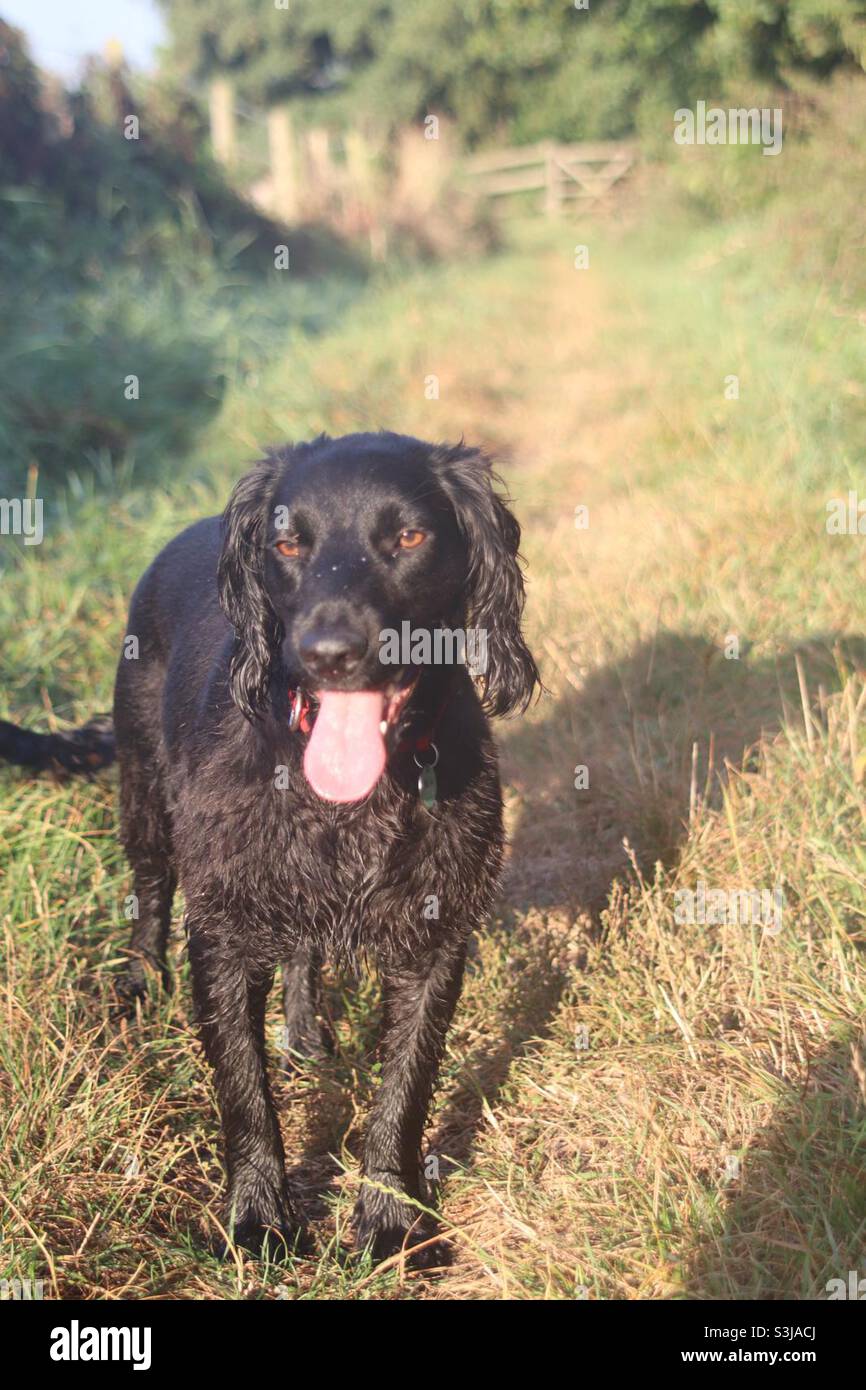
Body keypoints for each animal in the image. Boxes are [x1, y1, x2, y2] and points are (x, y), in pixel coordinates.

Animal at [0, 430, 539, 1262]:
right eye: (287, 543)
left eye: (409, 537)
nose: (328, 651)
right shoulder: (222, 931)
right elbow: (243, 1091)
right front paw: (257, 1217)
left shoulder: (436, 939)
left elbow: (405, 1091)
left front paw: (390, 1222)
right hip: (145, 792)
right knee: (149, 890)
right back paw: (138, 986)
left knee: (302, 951)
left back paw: (306, 1030)